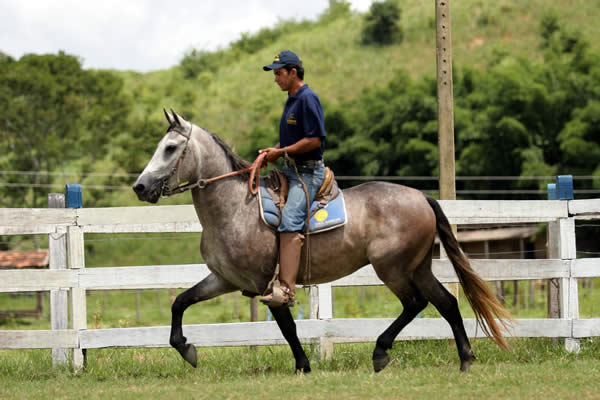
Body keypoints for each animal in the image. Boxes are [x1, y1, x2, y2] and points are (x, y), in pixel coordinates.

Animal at [131, 108, 510, 372]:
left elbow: (287, 328)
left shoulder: (268, 284)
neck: (236, 208)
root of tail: (421, 197)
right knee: (446, 303)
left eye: (170, 148)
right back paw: (465, 359)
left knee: (415, 304)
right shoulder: (225, 279)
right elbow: (180, 302)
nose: (140, 186)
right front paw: (187, 349)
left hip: (392, 268)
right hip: (418, 268)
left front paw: (303, 365)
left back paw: (380, 351)